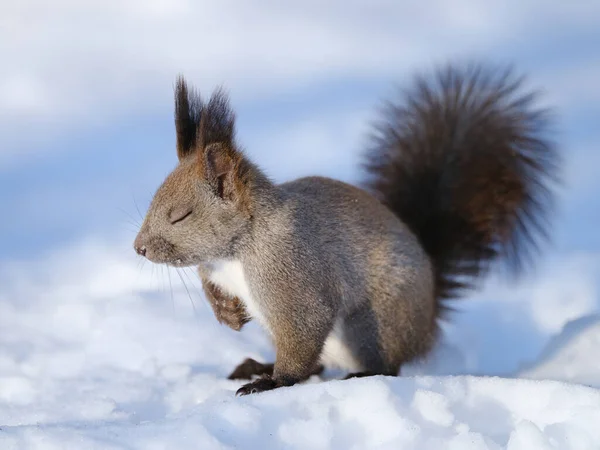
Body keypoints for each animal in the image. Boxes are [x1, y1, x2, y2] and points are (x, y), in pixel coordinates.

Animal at [131, 61, 556, 396]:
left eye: (181, 215)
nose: (139, 248)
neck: (236, 250)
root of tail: (429, 316)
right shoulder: (217, 270)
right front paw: (229, 314)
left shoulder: (290, 271)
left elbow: (306, 326)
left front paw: (273, 383)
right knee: (318, 363)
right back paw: (257, 364)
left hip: (370, 323)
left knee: (381, 366)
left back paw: (342, 375)